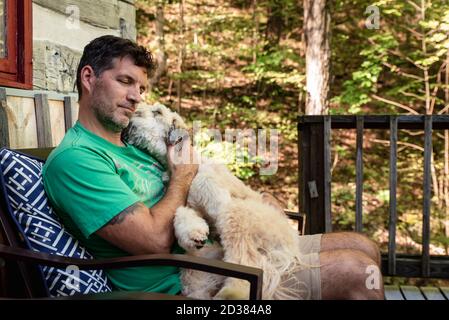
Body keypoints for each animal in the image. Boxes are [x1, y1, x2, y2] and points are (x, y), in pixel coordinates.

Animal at [121, 103, 314, 300]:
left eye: (157, 112)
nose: (133, 114)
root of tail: (289, 245)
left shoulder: (219, 200)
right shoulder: (190, 206)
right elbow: (183, 215)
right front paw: (193, 234)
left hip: (237, 215)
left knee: (245, 259)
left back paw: (233, 292)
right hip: (194, 274)